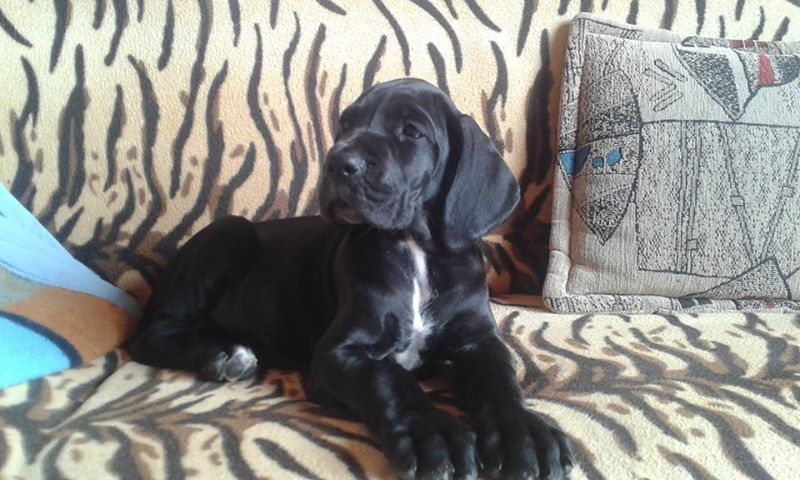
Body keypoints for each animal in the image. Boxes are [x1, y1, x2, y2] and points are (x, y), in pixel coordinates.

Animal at [128, 78, 574, 480]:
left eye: (411, 131)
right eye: (345, 125)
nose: (336, 163)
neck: (414, 248)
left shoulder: (479, 341)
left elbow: (499, 381)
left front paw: (523, 433)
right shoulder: (337, 353)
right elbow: (388, 379)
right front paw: (432, 431)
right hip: (229, 231)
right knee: (151, 336)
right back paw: (221, 356)